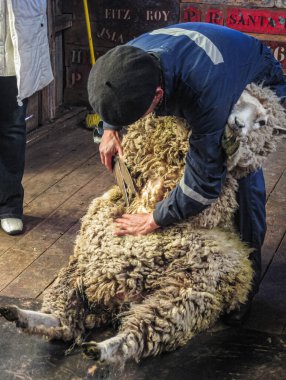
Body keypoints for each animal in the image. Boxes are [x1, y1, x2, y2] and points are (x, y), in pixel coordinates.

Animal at [0, 83, 284, 366]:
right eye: (237, 100)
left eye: (262, 122)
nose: (237, 125)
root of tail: (120, 295)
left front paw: (234, 147)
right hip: (77, 274)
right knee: (65, 324)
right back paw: (21, 315)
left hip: (185, 296)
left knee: (137, 336)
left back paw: (100, 349)